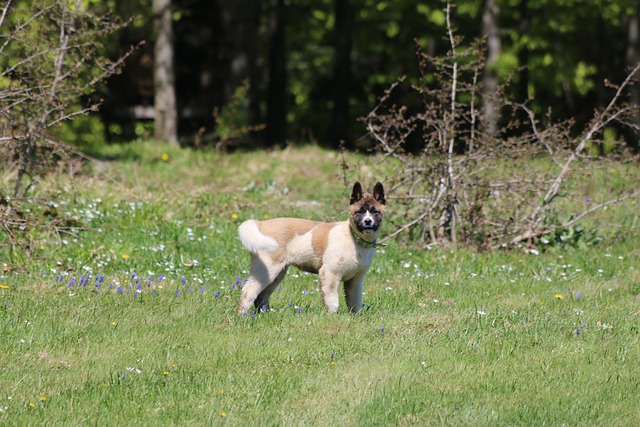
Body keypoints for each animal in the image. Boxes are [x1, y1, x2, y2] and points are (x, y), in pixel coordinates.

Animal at [235, 182, 384, 316]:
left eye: (375, 212)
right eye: (359, 212)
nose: (368, 221)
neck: (354, 238)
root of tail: (261, 224)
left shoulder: (355, 281)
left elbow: (355, 303)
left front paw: (355, 318)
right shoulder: (329, 274)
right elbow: (332, 302)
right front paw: (332, 317)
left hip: (277, 274)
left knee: (262, 296)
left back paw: (265, 314)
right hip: (267, 270)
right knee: (248, 291)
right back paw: (242, 316)